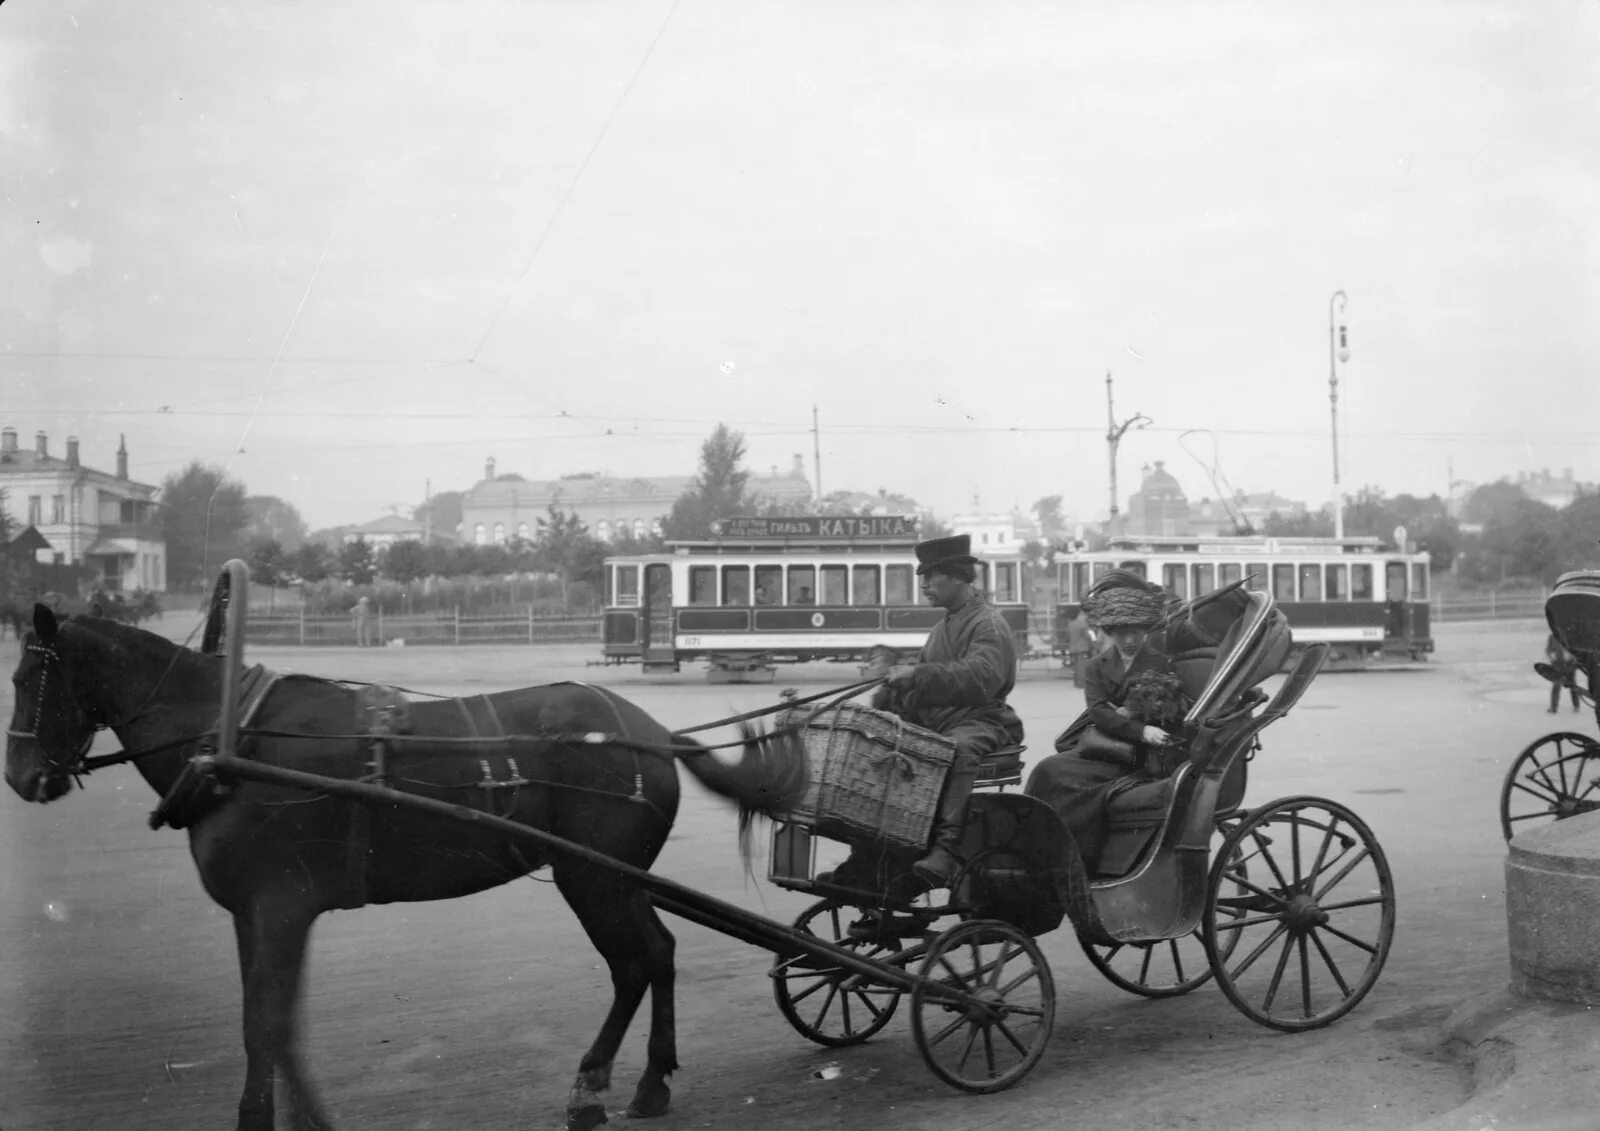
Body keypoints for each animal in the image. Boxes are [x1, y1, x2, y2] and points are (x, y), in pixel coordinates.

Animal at [0, 611, 800, 1131]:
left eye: (28, 675)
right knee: (658, 953)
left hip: (592, 877)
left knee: (633, 963)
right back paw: (650, 1080)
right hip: (614, 876)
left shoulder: (279, 906)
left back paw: (593, 1084)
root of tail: (655, 732)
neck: (231, 739)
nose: (20, 775)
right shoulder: (258, 913)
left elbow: (269, 1026)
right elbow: (268, 1023)